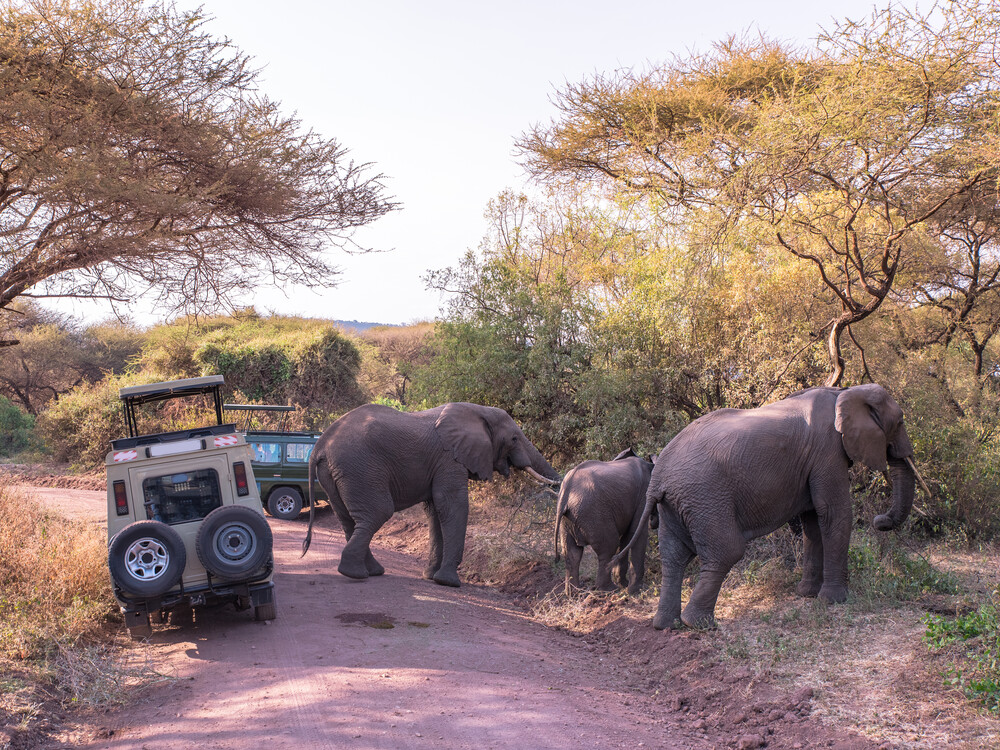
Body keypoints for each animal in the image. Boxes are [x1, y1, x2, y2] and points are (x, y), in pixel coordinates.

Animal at [301, 401, 560, 587]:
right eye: (514, 438)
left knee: (348, 519)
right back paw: (355, 574)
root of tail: (321, 444)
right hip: (359, 469)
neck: (479, 411)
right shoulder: (449, 459)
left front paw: (430, 576)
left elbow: (436, 510)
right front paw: (449, 582)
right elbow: (452, 505)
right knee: (378, 512)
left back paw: (370, 571)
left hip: (335, 474)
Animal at [553, 449, 658, 596]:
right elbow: (636, 533)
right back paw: (609, 589)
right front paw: (636, 590)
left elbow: (626, 537)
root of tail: (566, 493)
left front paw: (625, 584)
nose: (654, 523)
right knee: (608, 547)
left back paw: (574, 593)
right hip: (594, 514)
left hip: (567, 519)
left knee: (572, 554)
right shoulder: (643, 495)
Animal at [615, 385, 926, 630]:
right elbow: (833, 513)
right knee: (727, 551)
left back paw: (667, 625)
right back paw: (700, 624)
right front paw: (834, 600)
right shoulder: (827, 451)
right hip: (704, 498)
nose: (879, 520)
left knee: (673, 559)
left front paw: (806, 594)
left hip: (674, 505)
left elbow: (813, 522)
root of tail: (658, 478)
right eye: (900, 422)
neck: (845, 392)